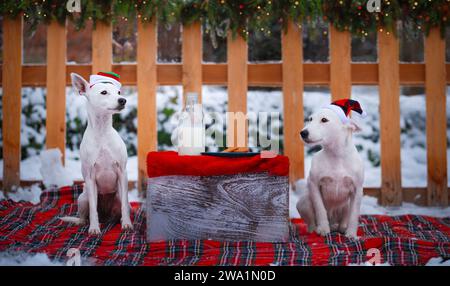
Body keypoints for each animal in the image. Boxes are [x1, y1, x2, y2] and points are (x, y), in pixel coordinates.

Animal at [59, 71, 131, 235]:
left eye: (119, 92)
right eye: (104, 92)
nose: (122, 100)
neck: (102, 132)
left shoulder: (122, 173)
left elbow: (124, 206)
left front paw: (127, 224)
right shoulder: (90, 178)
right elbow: (93, 209)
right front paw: (94, 228)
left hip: (118, 197)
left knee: (121, 209)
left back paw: (119, 221)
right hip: (83, 198)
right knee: (84, 216)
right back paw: (84, 222)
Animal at [298, 99, 366, 238]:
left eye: (324, 120)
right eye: (310, 119)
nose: (303, 133)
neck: (336, 156)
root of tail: (333, 222)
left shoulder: (357, 190)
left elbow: (354, 214)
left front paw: (351, 234)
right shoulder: (314, 184)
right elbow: (320, 209)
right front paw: (323, 229)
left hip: (346, 205)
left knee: (344, 218)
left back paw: (342, 228)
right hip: (304, 202)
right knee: (311, 221)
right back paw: (314, 230)